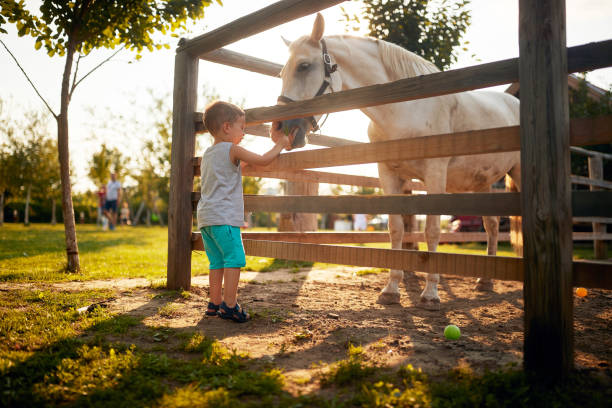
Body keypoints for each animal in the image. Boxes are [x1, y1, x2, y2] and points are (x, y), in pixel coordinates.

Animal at [278, 15, 520, 310]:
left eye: (304, 66)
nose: (279, 128)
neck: (406, 108)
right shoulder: (390, 176)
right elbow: (396, 229)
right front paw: (391, 290)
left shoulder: (435, 176)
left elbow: (431, 231)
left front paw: (430, 294)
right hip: (482, 184)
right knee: (492, 226)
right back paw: (485, 281)